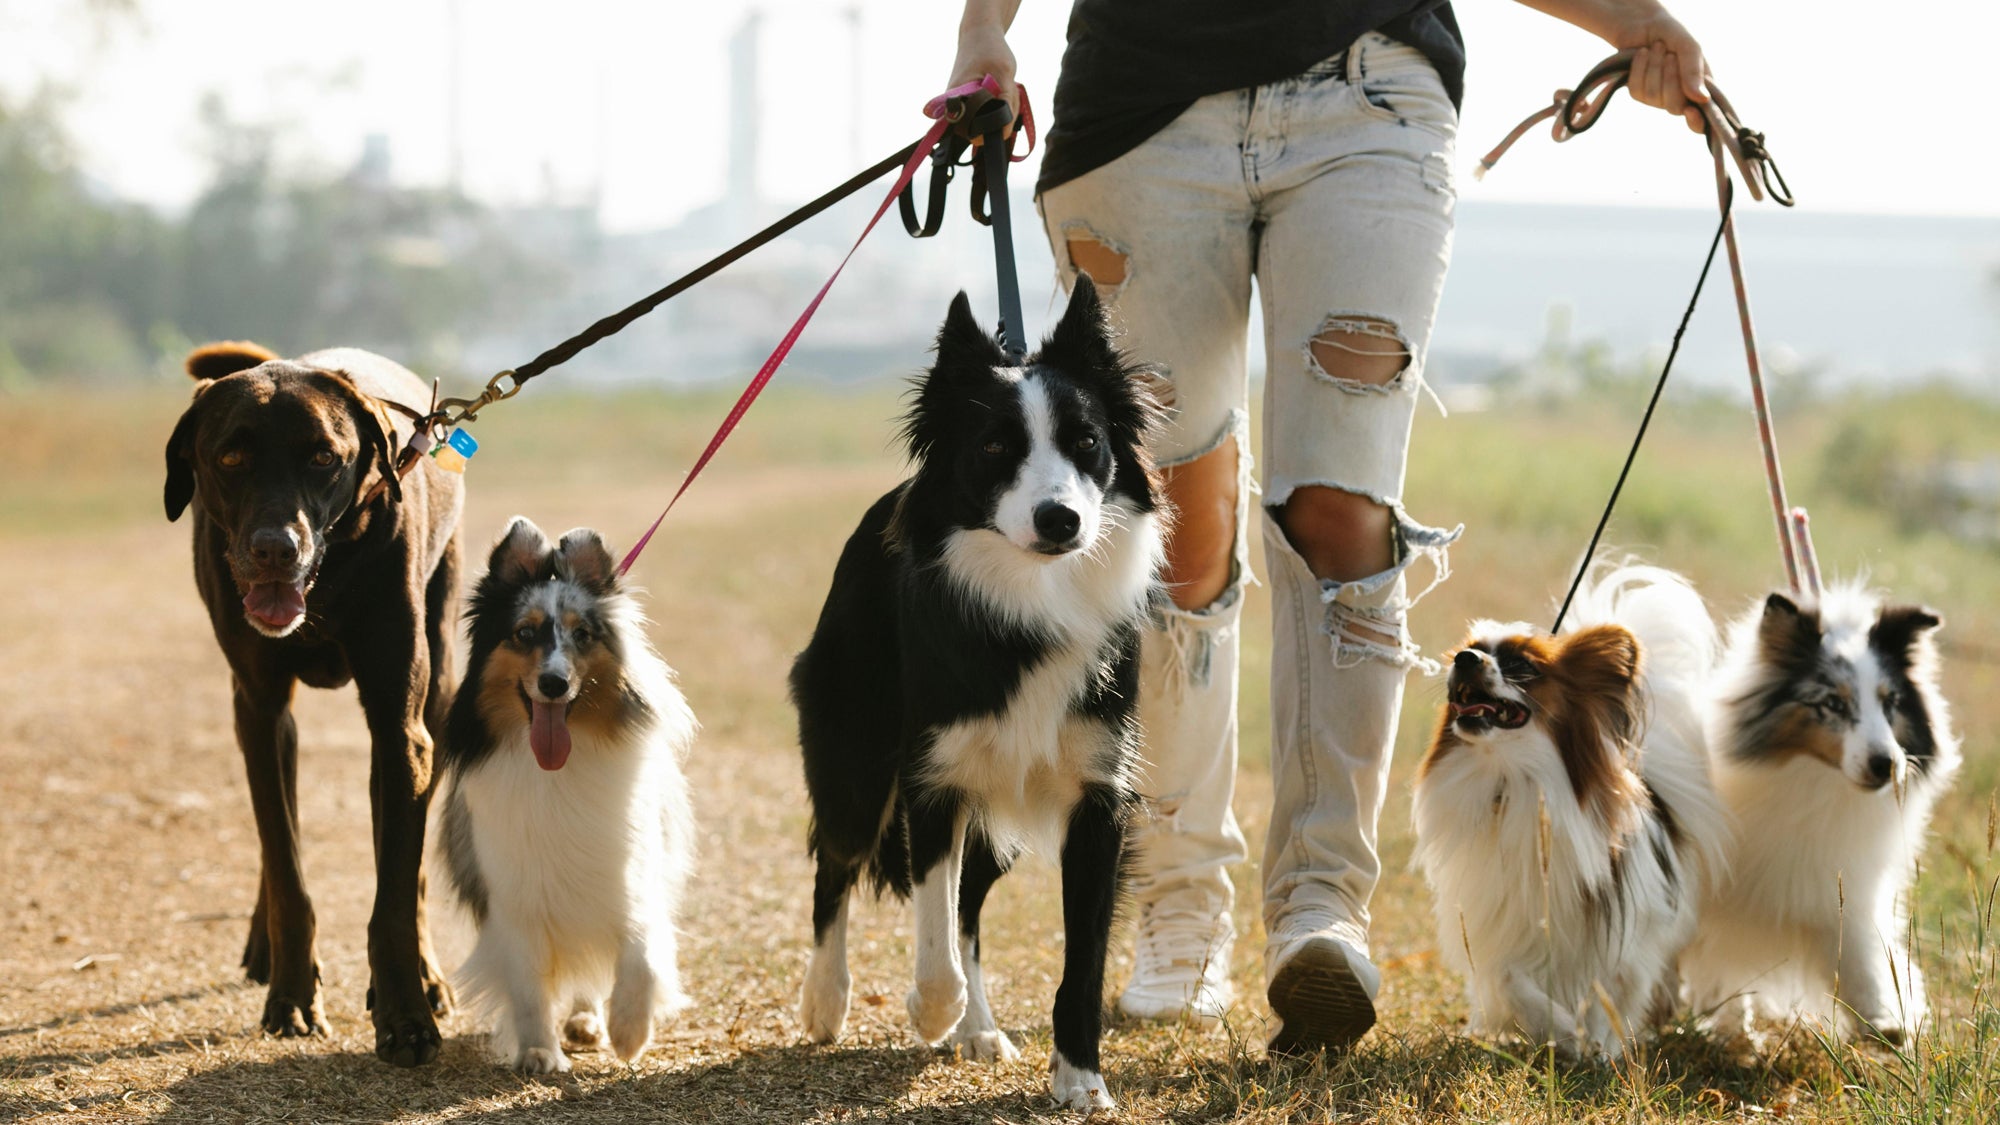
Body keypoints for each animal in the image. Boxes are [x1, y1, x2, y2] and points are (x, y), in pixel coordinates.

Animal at [166, 342, 462, 1056]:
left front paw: (407, 1016)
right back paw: (264, 945)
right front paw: (293, 994)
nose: (276, 548)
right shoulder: (260, 708)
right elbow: (286, 868)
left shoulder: (400, 727)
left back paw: (426, 975)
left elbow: (395, 894)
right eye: (230, 458)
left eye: (324, 457)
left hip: (436, 695)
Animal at [438, 516, 696, 1064]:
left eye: (582, 634)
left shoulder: (629, 877)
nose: (554, 684)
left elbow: (641, 953)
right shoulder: (513, 896)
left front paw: (629, 1031)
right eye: (524, 633)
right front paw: (539, 1052)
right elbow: (528, 985)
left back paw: (589, 1021)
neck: (557, 771)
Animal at [788, 276, 1168, 1104]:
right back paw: (828, 1000)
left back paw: (980, 1026)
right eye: (995, 447)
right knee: (836, 862)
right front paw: (931, 1010)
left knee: (969, 904)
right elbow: (932, 928)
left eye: (1087, 442)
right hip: (856, 753)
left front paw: (1080, 1078)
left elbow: (1080, 957)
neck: (1030, 597)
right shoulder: (933, 777)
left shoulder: (1099, 793)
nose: (1060, 519)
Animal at [1408, 564, 1736, 1056]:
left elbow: (1609, 994)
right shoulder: (1500, 918)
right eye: (1472, 649)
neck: (1513, 779)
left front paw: (1596, 1047)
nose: (1464, 658)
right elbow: (1509, 979)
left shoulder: (1621, 936)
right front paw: (1560, 1032)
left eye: (1523, 666)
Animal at [1680, 588, 1960, 1040]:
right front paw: (1729, 1024)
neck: (1816, 785)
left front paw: (1886, 1020)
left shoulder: (1839, 888)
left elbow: (1860, 955)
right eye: (1832, 703)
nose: (1886, 764)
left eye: (1891, 702)